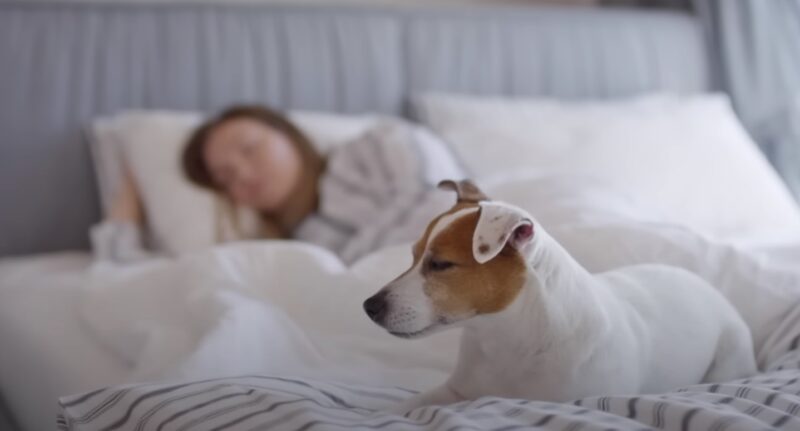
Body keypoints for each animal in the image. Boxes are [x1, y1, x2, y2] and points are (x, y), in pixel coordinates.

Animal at [362, 180, 756, 416]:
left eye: (441, 264)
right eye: (413, 256)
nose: (368, 306)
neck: (504, 338)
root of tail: (701, 282)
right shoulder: (455, 391)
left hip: (730, 355)